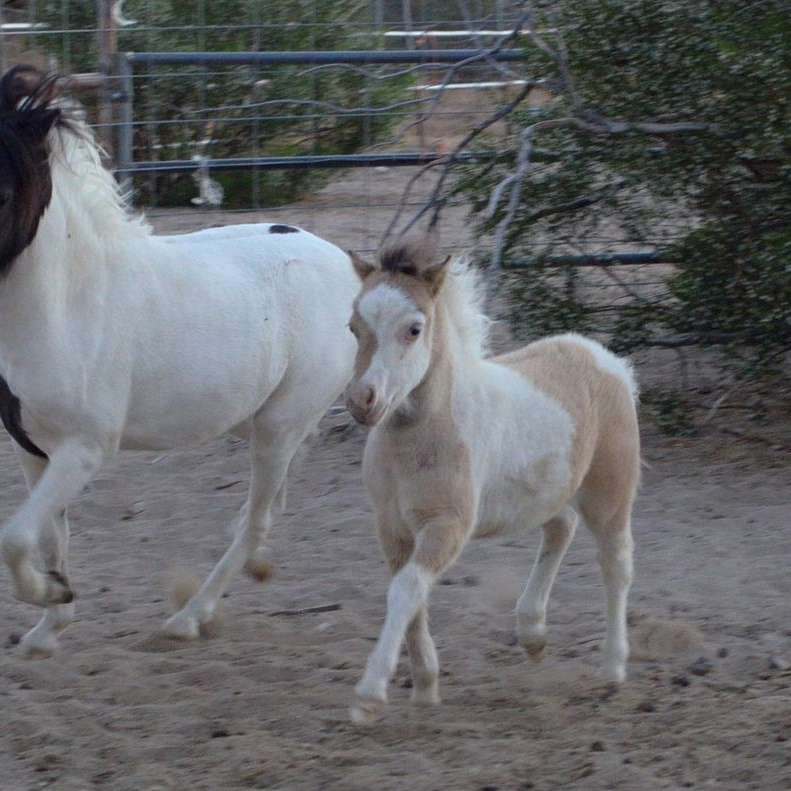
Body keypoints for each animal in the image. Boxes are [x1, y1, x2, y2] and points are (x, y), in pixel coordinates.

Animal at [0, 68, 358, 660]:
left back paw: (189, 618)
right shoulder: (32, 450)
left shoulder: (85, 449)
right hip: (252, 421)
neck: (67, 302)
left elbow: (15, 537)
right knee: (265, 514)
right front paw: (49, 623)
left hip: (279, 427)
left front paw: (49, 597)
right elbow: (49, 536)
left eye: (4, 185)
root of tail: (349, 265)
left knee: (256, 520)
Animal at [344, 238, 640, 728]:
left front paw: (369, 695)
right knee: (560, 529)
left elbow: (406, 590)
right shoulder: (392, 528)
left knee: (615, 564)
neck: (420, 439)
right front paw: (425, 687)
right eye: (353, 326)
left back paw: (613, 667)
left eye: (414, 329)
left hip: (610, 493)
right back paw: (532, 632)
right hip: (550, 488)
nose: (362, 400)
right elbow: (410, 594)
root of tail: (601, 356)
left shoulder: (448, 525)